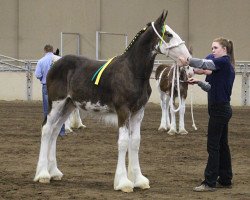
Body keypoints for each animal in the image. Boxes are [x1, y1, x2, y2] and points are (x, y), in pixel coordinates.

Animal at [34, 10, 190, 192]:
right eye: (169, 34)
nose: (187, 58)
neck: (132, 71)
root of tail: (55, 63)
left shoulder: (138, 112)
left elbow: (135, 142)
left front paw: (139, 180)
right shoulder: (123, 110)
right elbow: (123, 142)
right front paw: (123, 182)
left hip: (68, 105)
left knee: (55, 131)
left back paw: (54, 172)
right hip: (56, 103)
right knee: (46, 129)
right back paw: (43, 174)